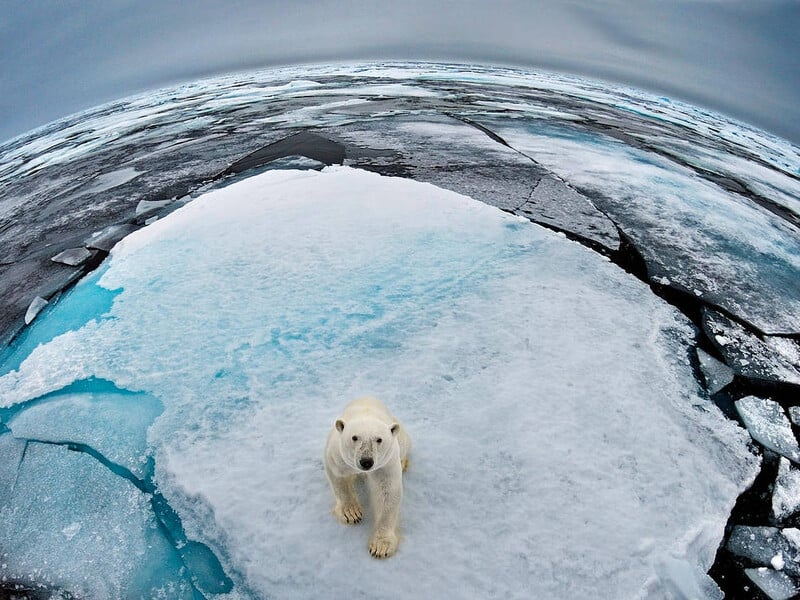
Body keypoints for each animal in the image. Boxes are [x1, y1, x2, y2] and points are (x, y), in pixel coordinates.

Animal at [324, 398, 412, 556]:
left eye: (379, 439)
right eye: (354, 437)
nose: (366, 461)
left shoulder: (385, 463)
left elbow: (387, 491)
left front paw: (381, 546)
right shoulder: (338, 454)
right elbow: (339, 478)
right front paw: (351, 514)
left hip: (399, 436)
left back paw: (403, 463)